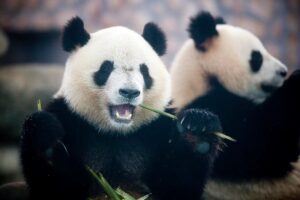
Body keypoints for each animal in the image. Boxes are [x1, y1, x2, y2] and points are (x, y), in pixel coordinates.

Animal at [20, 16, 223, 199]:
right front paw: (45, 136)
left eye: (144, 70)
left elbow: (177, 184)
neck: (116, 132)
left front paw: (197, 129)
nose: (129, 92)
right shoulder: (70, 117)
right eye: (106, 68)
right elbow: (56, 185)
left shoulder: (157, 128)